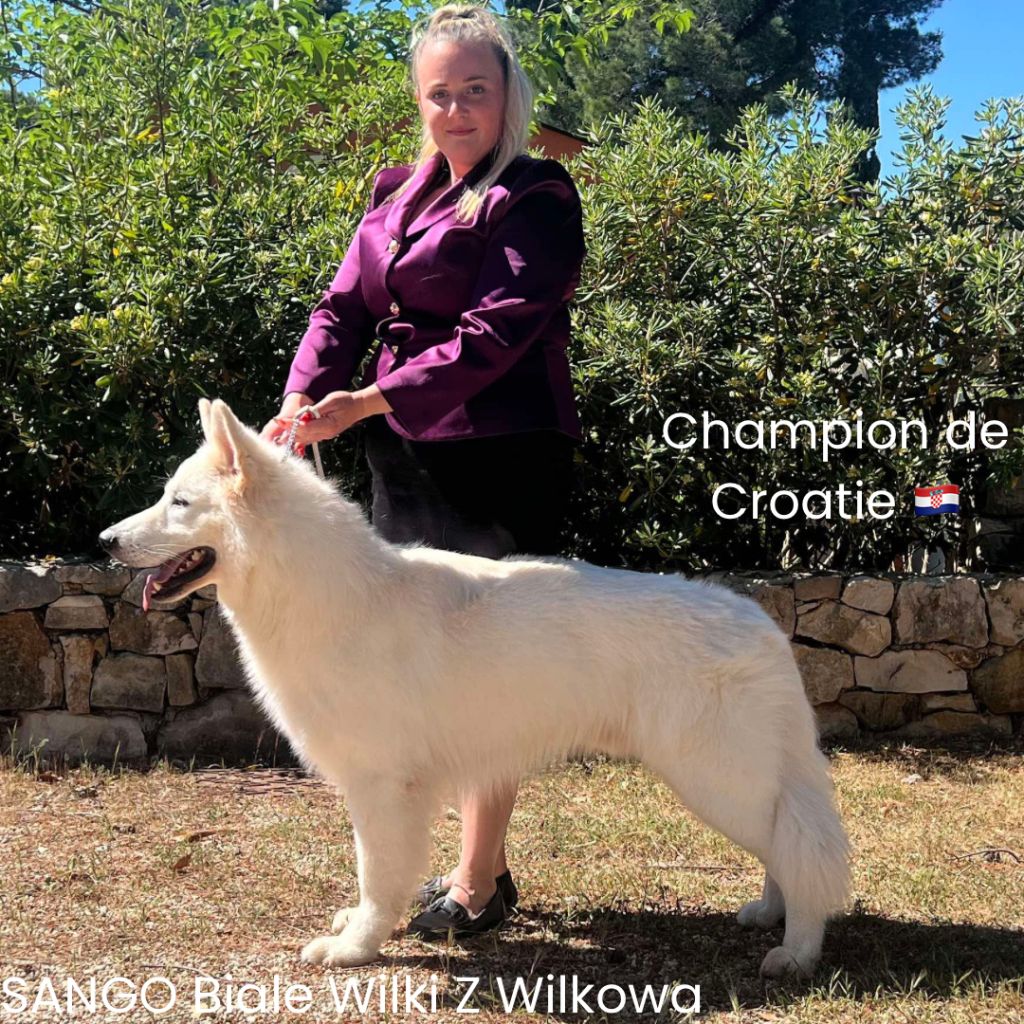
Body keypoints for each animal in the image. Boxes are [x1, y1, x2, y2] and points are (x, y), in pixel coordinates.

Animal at [100, 398, 850, 978]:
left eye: (179, 503)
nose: (105, 540)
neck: (332, 595)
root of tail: (763, 623)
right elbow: (377, 875)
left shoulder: (381, 786)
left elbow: (377, 874)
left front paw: (355, 948)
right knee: (789, 846)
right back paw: (770, 915)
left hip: (715, 780)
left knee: (799, 851)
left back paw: (798, 951)